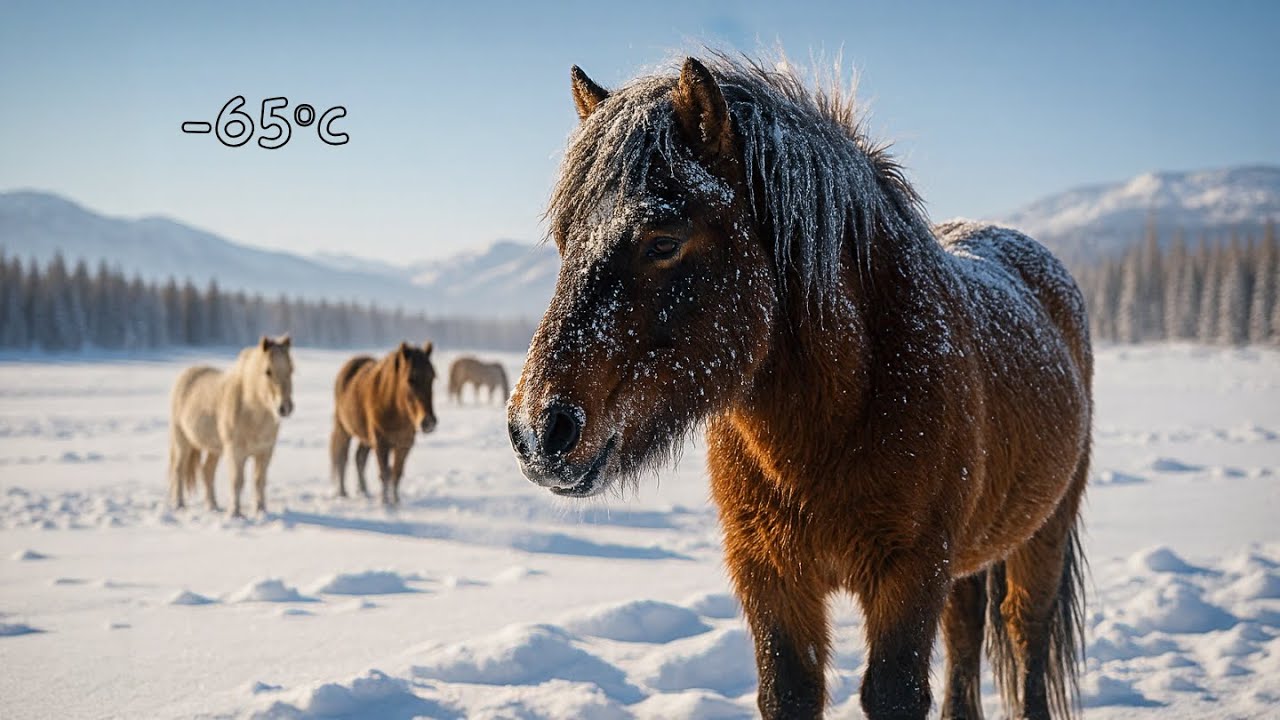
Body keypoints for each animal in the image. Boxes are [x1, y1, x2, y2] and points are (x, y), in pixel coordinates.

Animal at [169, 335, 295, 517]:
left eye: (291, 369)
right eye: (268, 371)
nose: (284, 408)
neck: (251, 411)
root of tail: (188, 373)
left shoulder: (265, 452)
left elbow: (259, 480)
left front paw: (261, 511)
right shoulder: (236, 452)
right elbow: (237, 481)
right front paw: (235, 513)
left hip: (214, 449)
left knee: (207, 472)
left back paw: (213, 507)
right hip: (182, 440)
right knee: (178, 470)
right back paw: (179, 505)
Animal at [330, 341, 438, 505]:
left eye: (432, 377)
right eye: (410, 379)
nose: (428, 422)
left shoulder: (404, 445)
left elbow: (396, 474)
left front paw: (396, 503)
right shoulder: (381, 444)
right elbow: (385, 474)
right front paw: (386, 503)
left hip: (366, 439)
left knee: (359, 458)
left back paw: (364, 492)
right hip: (344, 429)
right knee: (342, 458)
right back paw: (343, 494)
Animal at [507, 55, 1092, 720]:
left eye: (664, 240)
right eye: (564, 241)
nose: (537, 431)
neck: (833, 423)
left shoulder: (910, 573)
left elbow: (894, 691)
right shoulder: (770, 573)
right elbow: (790, 688)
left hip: (1043, 534)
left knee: (1026, 638)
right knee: (966, 635)